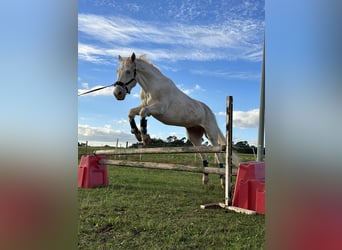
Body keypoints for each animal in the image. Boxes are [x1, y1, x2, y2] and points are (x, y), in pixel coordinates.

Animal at [112, 52, 238, 188]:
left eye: (128, 71)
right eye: (117, 71)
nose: (117, 93)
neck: (151, 87)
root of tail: (208, 110)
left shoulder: (159, 109)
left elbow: (142, 113)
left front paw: (145, 137)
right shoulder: (145, 106)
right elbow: (131, 112)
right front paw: (137, 134)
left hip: (211, 135)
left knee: (218, 153)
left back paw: (223, 181)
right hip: (194, 136)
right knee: (203, 153)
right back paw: (205, 179)